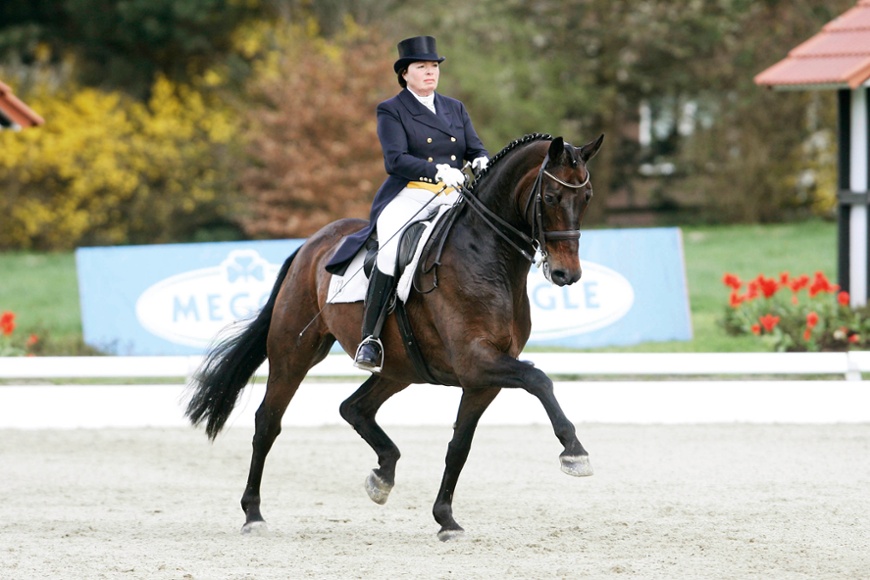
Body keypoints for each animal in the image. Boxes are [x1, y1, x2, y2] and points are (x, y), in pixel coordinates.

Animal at [185, 132, 604, 540]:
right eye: (550, 197)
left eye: (586, 197)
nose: (567, 274)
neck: (487, 256)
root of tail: (311, 244)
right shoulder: (476, 362)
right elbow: (539, 379)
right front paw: (575, 452)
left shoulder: (482, 378)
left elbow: (459, 446)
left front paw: (445, 519)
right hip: (295, 351)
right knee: (267, 423)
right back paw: (253, 514)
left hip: (400, 368)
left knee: (353, 408)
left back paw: (382, 475)